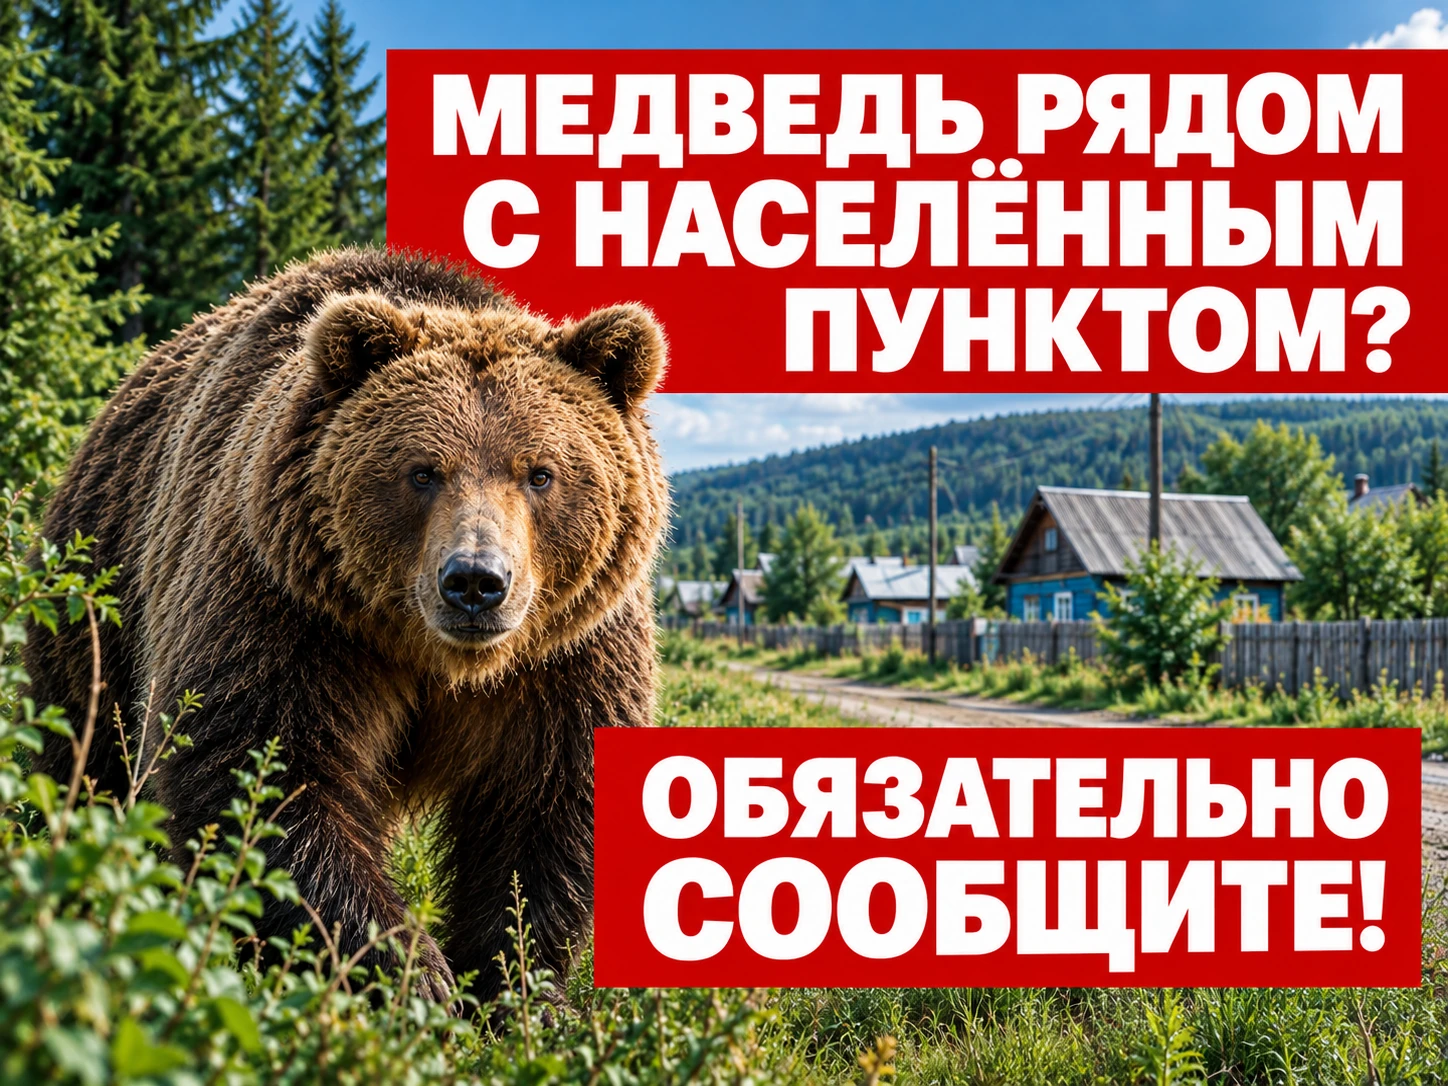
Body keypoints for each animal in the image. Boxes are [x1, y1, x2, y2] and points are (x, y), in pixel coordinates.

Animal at [26, 247, 670, 1000]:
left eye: (540, 472)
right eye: (422, 471)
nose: (475, 583)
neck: (437, 659)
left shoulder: (565, 655)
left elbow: (545, 810)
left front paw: (511, 985)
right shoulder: (292, 611)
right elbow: (267, 775)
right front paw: (413, 975)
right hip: (100, 583)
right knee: (84, 741)